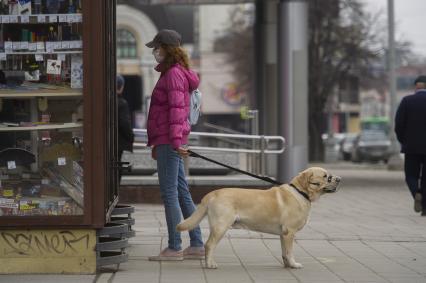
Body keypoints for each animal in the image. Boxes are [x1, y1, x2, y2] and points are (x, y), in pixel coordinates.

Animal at [176, 168, 340, 270]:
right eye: (326, 176)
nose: (339, 179)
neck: (300, 192)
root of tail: (212, 193)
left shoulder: (283, 234)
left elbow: (284, 252)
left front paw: (287, 265)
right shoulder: (290, 232)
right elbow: (290, 252)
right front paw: (294, 264)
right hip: (220, 226)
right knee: (209, 245)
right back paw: (210, 264)